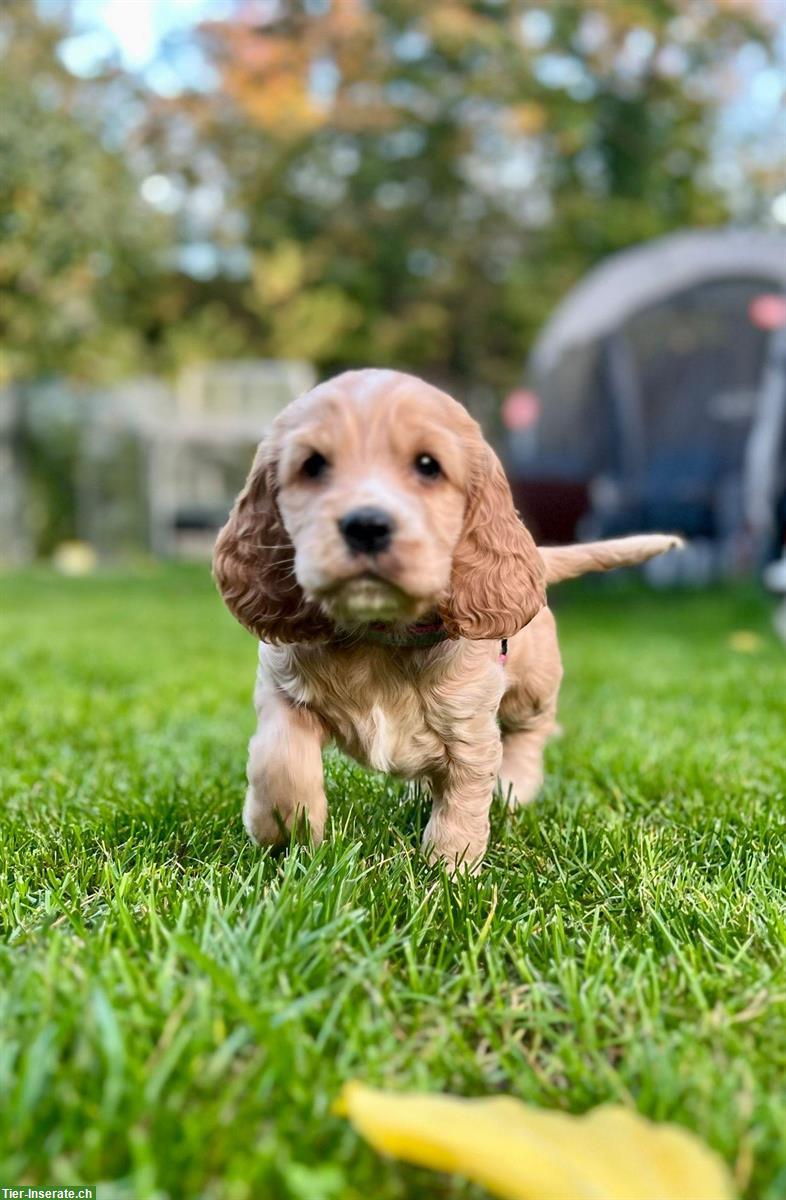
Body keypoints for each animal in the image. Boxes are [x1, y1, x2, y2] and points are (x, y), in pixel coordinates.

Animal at [212, 369, 681, 868]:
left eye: (428, 465)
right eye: (313, 465)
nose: (366, 526)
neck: (380, 634)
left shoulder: (471, 729)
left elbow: (463, 802)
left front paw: (450, 870)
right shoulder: (283, 691)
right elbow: (280, 761)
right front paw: (285, 831)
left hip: (532, 686)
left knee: (532, 730)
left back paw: (514, 787)